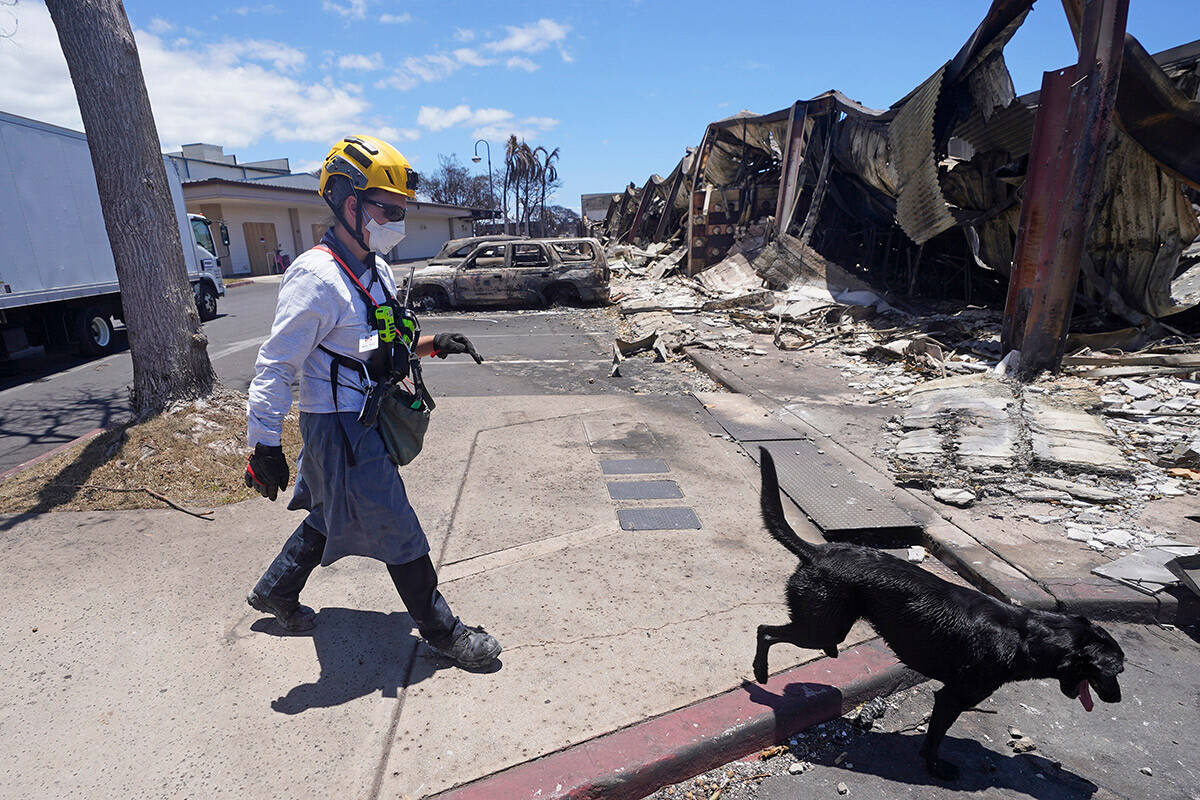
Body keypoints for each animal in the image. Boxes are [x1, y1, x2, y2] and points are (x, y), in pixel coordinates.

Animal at [748, 450, 1123, 782]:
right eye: (1115, 669)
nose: (1119, 698)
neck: (1025, 636)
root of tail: (816, 552)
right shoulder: (952, 697)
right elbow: (935, 738)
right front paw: (935, 767)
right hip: (820, 627)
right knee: (764, 629)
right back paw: (761, 672)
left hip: (826, 626)